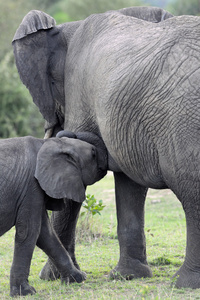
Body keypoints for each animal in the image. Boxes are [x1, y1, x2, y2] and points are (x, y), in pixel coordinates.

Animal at [0, 133, 107, 296]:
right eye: (93, 154)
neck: (47, 143)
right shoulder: (31, 186)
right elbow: (29, 232)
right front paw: (25, 292)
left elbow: (46, 235)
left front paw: (79, 278)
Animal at [12, 6, 200, 288]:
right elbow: (129, 183)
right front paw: (128, 276)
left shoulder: (79, 89)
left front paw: (53, 278)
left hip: (185, 120)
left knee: (190, 188)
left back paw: (185, 283)